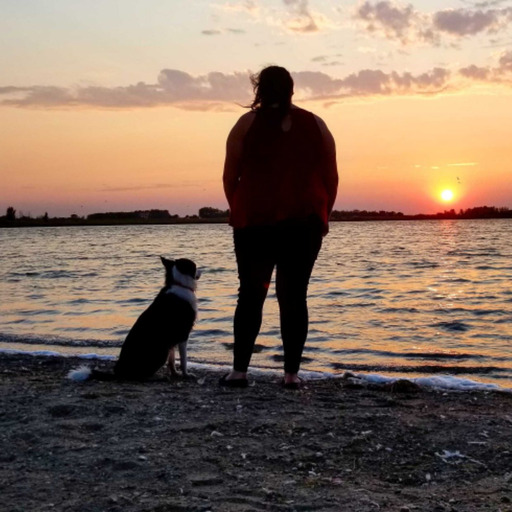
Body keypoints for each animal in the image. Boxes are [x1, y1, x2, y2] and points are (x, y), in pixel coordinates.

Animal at [69, 258, 200, 382]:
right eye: (195, 266)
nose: (201, 271)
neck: (179, 284)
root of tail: (119, 372)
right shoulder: (183, 334)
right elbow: (183, 360)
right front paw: (186, 374)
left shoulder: (172, 340)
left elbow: (172, 361)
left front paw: (175, 373)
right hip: (160, 352)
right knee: (141, 376)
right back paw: (157, 378)